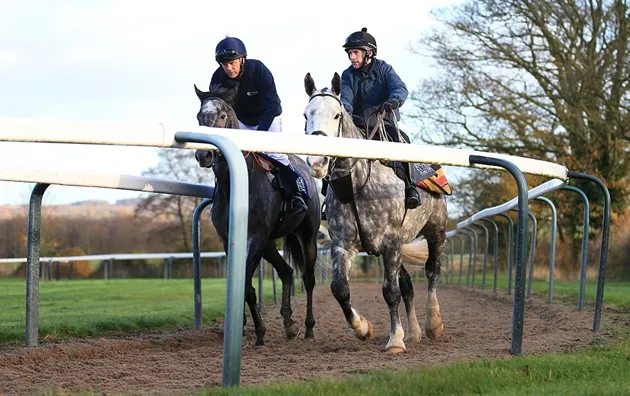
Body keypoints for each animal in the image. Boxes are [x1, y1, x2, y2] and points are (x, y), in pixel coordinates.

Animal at [193, 83, 320, 346]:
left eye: (222, 116)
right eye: (199, 116)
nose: (203, 155)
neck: (236, 184)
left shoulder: (255, 238)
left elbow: (245, 285)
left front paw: (258, 332)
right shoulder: (229, 239)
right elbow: (244, 286)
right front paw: (249, 328)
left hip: (306, 235)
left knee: (308, 278)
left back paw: (308, 327)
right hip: (270, 243)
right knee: (287, 271)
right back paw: (289, 324)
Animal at [304, 72, 450, 354]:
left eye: (336, 115)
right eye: (306, 115)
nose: (317, 162)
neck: (358, 186)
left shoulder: (390, 244)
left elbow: (390, 292)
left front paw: (394, 341)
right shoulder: (344, 245)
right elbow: (340, 288)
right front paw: (363, 328)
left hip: (436, 229)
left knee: (432, 271)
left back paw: (434, 323)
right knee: (408, 285)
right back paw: (414, 332)